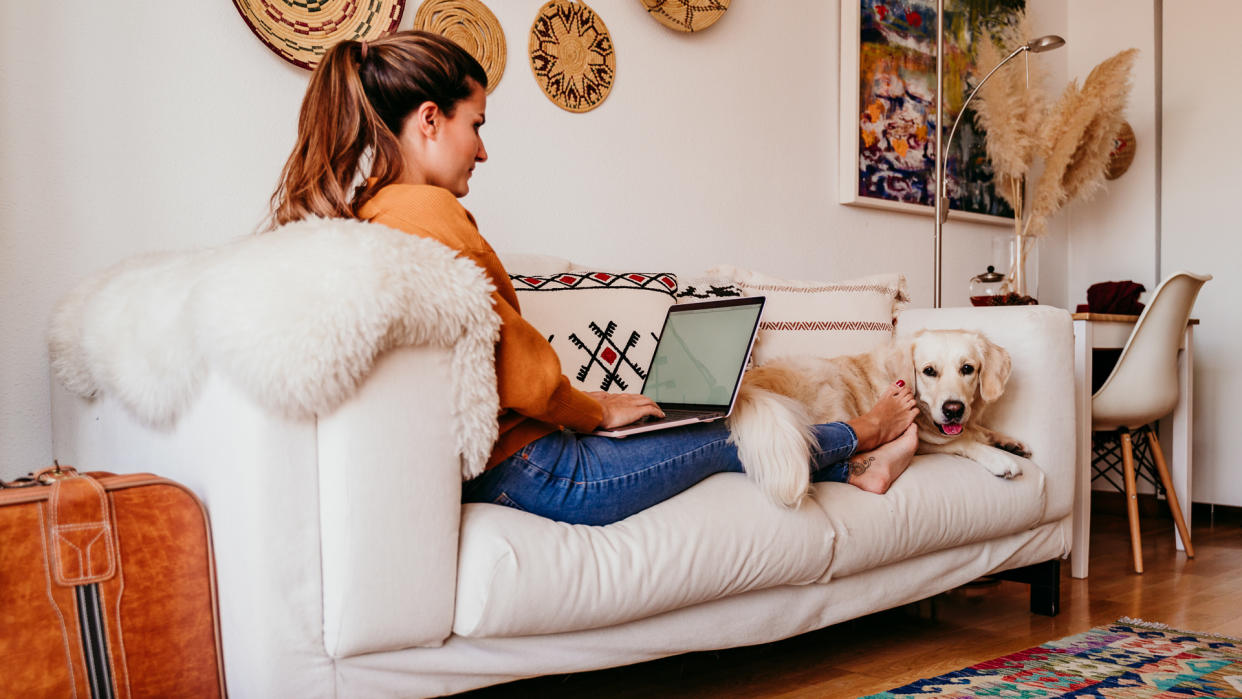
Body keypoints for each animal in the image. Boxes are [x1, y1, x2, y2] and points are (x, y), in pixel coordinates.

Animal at [725, 330, 1028, 506]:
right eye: (929, 371)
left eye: (968, 369)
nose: (953, 409)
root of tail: (748, 389)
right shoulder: (925, 439)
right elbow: (962, 441)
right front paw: (999, 458)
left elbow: (978, 429)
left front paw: (1007, 442)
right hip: (826, 380)